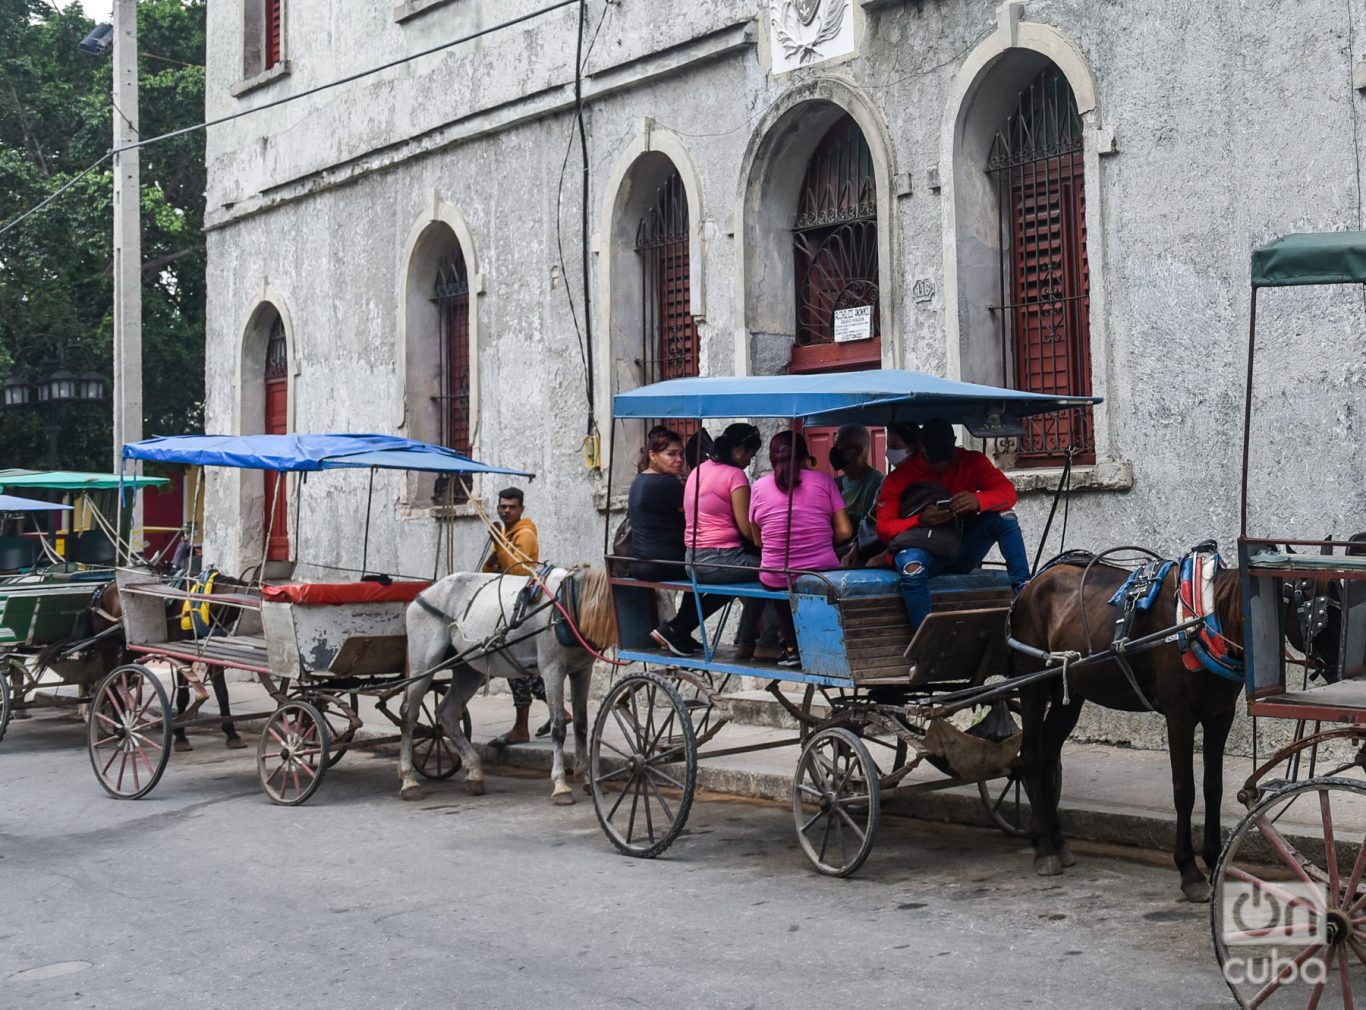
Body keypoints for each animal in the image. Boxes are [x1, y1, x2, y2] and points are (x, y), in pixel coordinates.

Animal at [398, 568, 617, 803]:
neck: (568, 602)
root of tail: (423, 594)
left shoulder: (582, 670)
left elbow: (581, 726)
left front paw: (586, 778)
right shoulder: (552, 667)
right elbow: (558, 727)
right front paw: (561, 785)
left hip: (468, 668)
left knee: (447, 712)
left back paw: (474, 772)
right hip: (423, 664)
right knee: (409, 715)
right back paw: (409, 779)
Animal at [1010, 557, 1245, 902]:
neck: (1201, 619)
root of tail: (1031, 584)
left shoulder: (1221, 714)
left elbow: (1213, 787)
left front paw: (1215, 862)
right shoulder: (1179, 715)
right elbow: (1184, 790)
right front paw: (1189, 872)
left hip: (1072, 688)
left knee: (1049, 752)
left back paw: (1058, 842)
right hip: (1032, 684)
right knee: (1031, 757)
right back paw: (1043, 848)